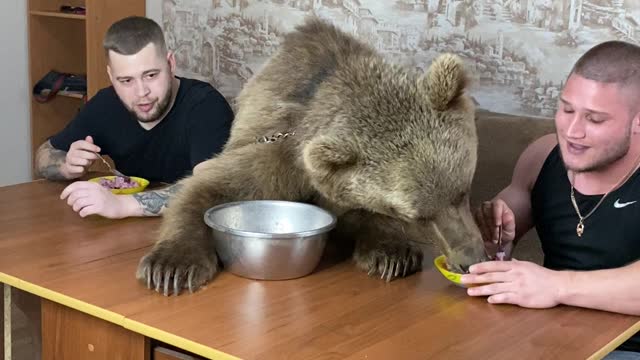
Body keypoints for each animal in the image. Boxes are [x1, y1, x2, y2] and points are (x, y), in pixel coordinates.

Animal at [135, 16, 484, 296]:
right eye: (418, 216)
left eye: (462, 192)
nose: (472, 260)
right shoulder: (282, 156)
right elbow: (206, 186)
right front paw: (171, 267)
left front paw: (392, 254)